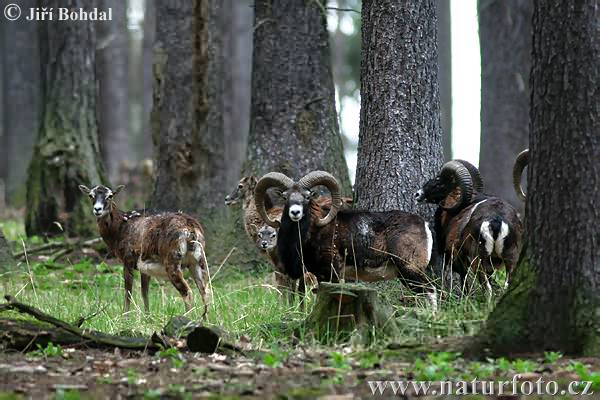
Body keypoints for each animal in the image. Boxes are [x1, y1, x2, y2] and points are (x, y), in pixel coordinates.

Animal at [79, 185, 211, 316]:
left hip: (172, 259)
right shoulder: (144, 266)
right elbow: (145, 292)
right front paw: (147, 316)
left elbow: (128, 291)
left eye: (110, 196)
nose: (97, 209)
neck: (119, 230)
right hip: (198, 259)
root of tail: (191, 229)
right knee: (206, 291)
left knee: (188, 292)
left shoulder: (128, 258)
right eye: (91, 195)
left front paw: (125, 316)